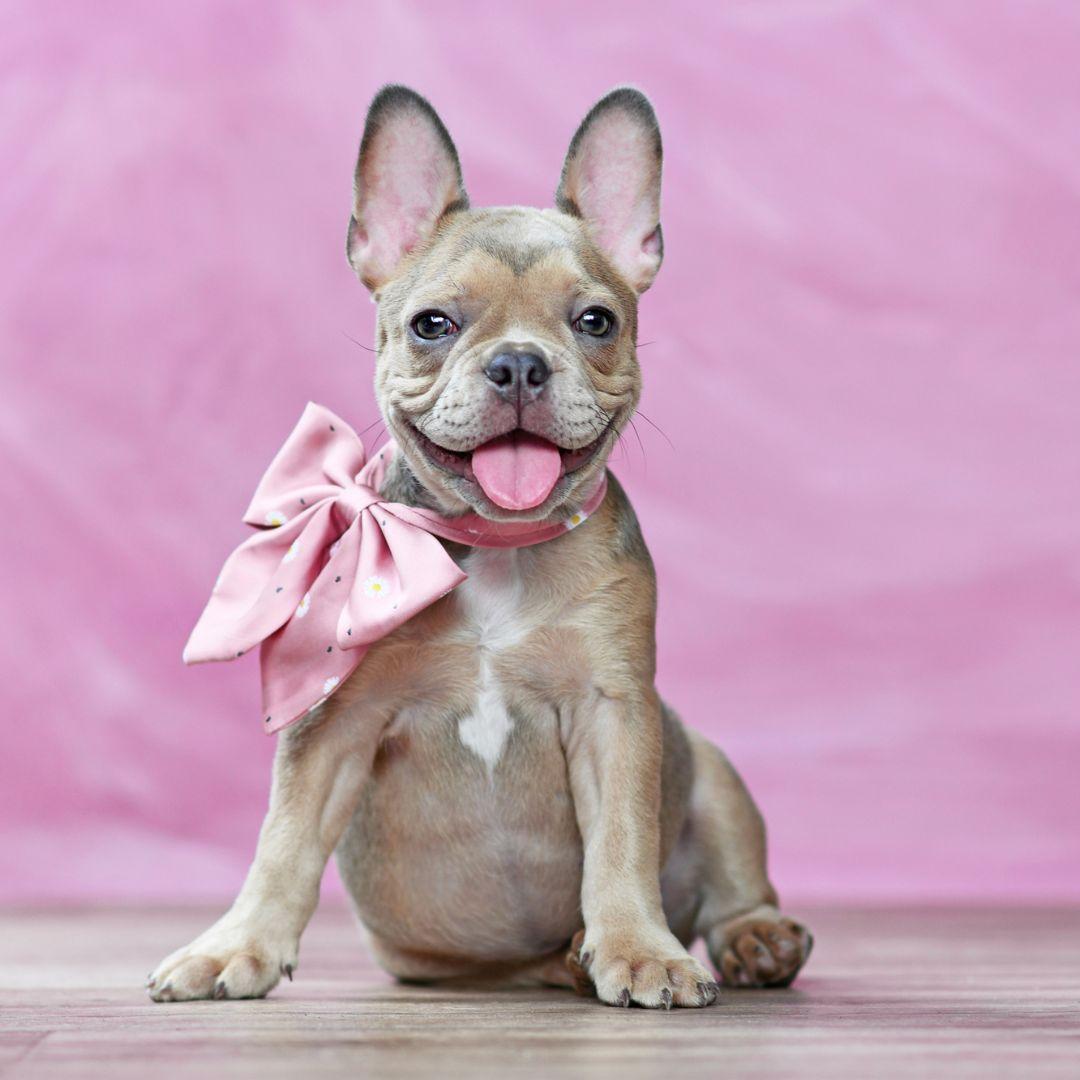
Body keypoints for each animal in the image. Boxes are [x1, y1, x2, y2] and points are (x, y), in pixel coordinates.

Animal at [150, 82, 812, 1002]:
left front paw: (639, 947)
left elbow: (621, 843)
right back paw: (574, 957)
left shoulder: (613, 710)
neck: (494, 544)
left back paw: (751, 941)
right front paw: (233, 945)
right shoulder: (337, 719)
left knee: (734, 885)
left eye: (596, 320)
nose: (520, 363)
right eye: (432, 323)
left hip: (713, 774)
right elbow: (282, 841)